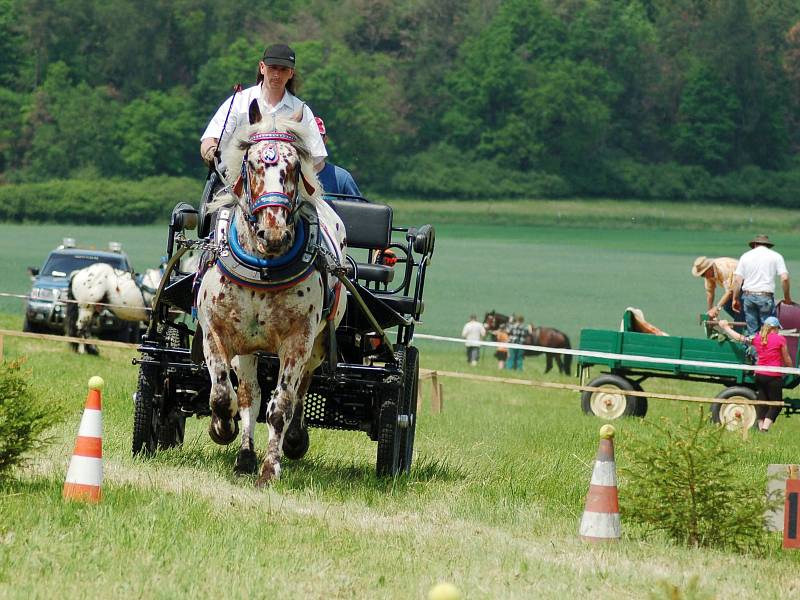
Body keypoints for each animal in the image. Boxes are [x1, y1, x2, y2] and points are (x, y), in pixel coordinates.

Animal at [195, 103, 346, 488]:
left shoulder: (298, 340)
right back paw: (244, 455)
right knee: (250, 393)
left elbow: (282, 405)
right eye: (252, 164)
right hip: (248, 347)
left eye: (293, 166)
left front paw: (270, 468)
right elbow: (223, 394)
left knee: (299, 390)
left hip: (316, 346)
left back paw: (291, 440)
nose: (274, 231)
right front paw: (222, 428)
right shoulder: (216, 331)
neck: (263, 263)